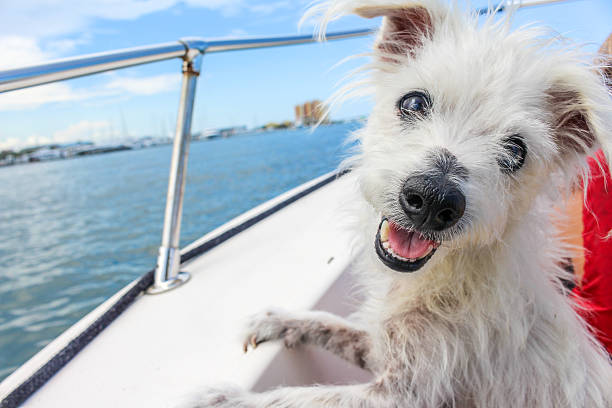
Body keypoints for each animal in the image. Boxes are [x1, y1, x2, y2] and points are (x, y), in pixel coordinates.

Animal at [195, 0, 612, 408]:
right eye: (413, 102)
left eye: (516, 151)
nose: (432, 200)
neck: (447, 279)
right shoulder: (384, 346)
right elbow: (330, 324)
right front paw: (278, 320)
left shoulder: (401, 393)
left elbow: (293, 398)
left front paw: (222, 397)